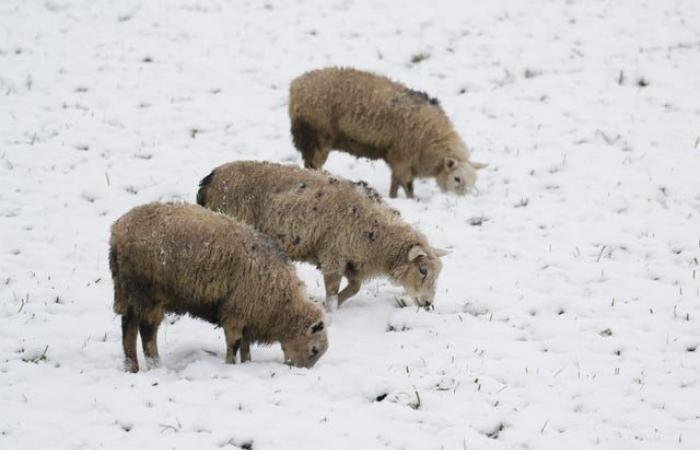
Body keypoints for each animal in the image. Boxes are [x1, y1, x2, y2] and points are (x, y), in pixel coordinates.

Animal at [109, 203, 328, 372]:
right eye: (314, 350)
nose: (299, 371)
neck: (282, 303)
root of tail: (118, 231)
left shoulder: (248, 315)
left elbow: (245, 346)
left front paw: (247, 363)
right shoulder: (235, 313)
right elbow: (234, 344)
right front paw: (230, 365)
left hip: (128, 291)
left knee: (128, 327)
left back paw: (131, 367)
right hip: (148, 293)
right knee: (146, 332)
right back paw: (155, 365)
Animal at [197, 160, 448, 312]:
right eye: (423, 270)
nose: (428, 303)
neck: (376, 234)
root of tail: (209, 179)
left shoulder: (353, 262)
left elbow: (354, 288)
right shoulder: (333, 255)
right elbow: (333, 290)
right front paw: (330, 310)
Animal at [288, 67, 486, 199]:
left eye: (474, 181)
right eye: (457, 178)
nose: (463, 200)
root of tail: (296, 85)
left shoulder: (398, 160)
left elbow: (395, 183)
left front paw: (392, 197)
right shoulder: (403, 158)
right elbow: (407, 185)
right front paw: (412, 200)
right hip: (317, 136)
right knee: (313, 165)